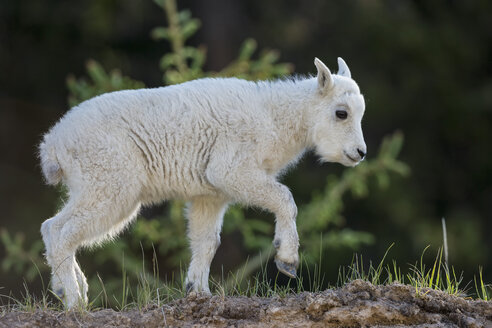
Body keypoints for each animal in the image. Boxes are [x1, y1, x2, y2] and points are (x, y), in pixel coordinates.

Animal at [40, 58, 368, 308]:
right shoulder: (231, 169)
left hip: (91, 186)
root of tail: (53, 145)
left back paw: (66, 290)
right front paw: (287, 260)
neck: (276, 117)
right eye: (341, 113)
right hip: (111, 183)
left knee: (52, 226)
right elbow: (284, 197)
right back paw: (75, 301)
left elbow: (207, 241)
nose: (360, 153)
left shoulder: (210, 195)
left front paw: (198, 291)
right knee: (65, 232)